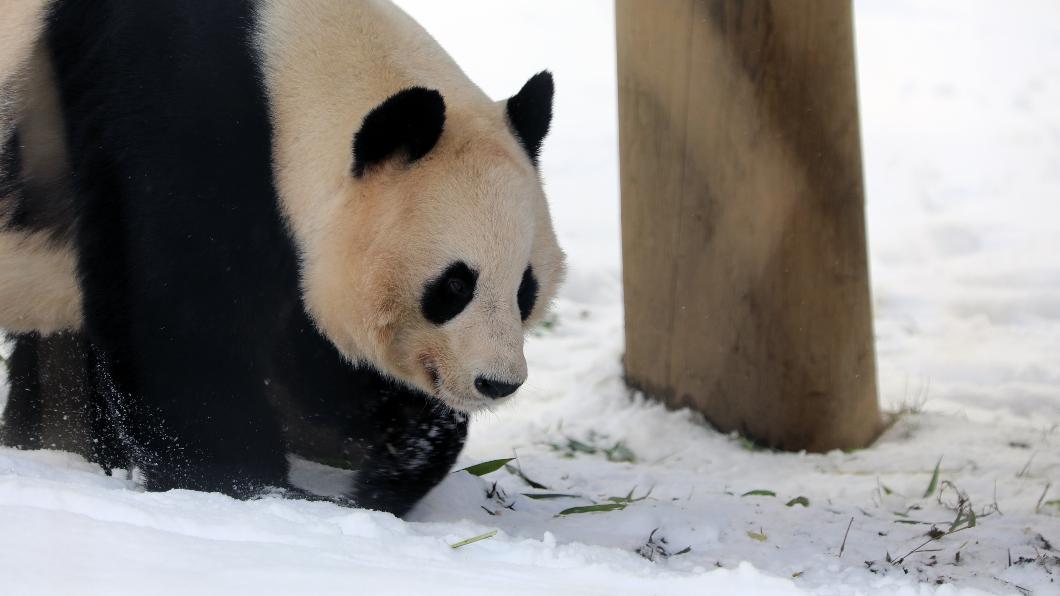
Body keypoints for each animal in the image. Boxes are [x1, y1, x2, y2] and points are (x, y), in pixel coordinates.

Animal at [0, 0, 563, 513]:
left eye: (525, 289)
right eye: (454, 285)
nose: (497, 382)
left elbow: (319, 364)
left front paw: (399, 461)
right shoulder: (172, 127)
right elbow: (177, 331)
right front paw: (253, 487)